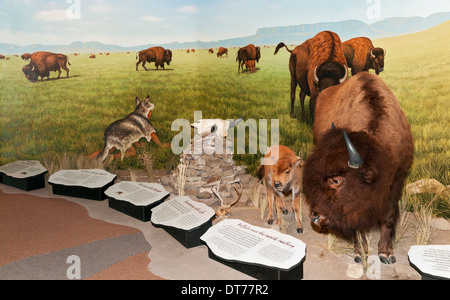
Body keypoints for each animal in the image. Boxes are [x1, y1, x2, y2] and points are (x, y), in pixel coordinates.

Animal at [302, 71, 414, 264]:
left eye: (336, 180)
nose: (315, 217)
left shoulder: (397, 181)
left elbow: (388, 217)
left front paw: (386, 254)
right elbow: (358, 225)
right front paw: (360, 253)